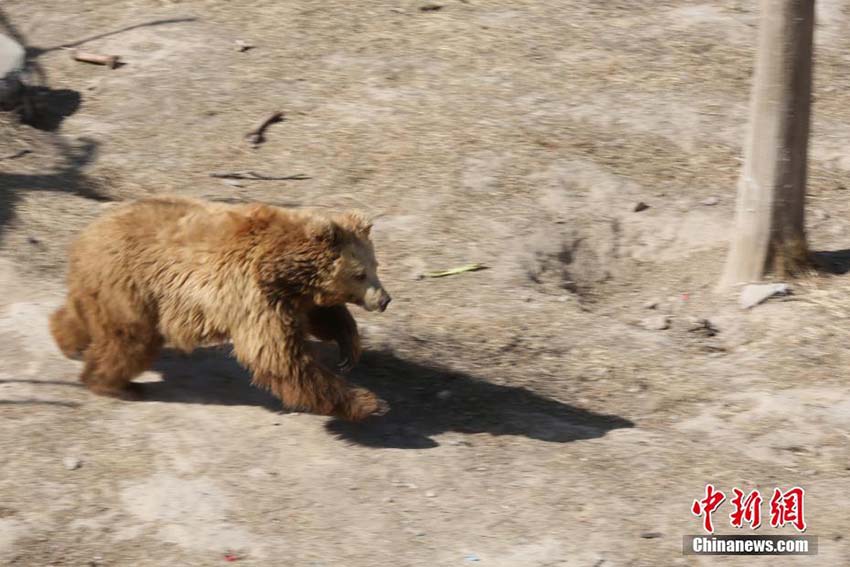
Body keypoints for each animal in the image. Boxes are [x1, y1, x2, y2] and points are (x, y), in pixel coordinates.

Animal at [47, 196, 390, 422]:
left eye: (375, 265)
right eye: (360, 273)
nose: (384, 300)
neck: (284, 268)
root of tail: (85, 237)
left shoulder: (294, 296)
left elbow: (322, 316)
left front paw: (348, 348)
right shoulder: (257, 295)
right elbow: (280, 358)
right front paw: (370, 403)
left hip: (106, 289)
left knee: (86, 318)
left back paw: (67, 340)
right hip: (132, 289)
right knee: (130, 342)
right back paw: (115, 384)